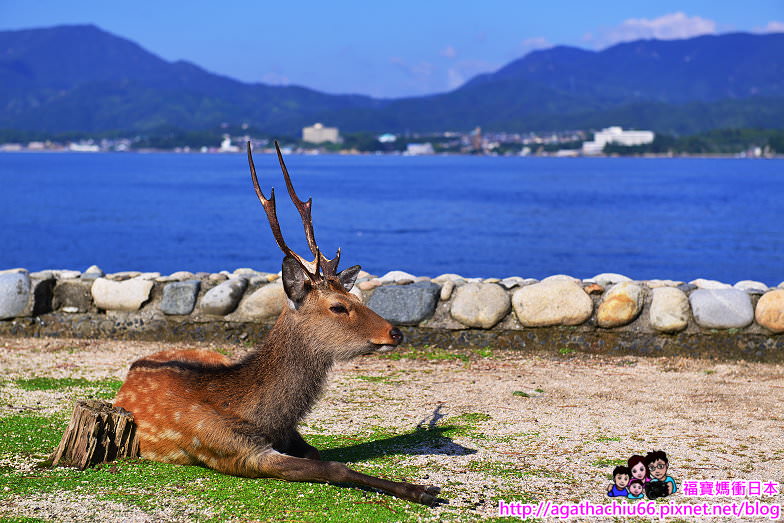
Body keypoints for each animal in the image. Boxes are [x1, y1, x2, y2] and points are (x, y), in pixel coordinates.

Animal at [112, 141, 440, 506]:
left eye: (358, 298)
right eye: (338, 307)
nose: (395, 332)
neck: (262, 420)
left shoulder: (288, 433)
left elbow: (317, 454)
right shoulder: (234, 451)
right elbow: (333, 467)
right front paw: (422, 491)